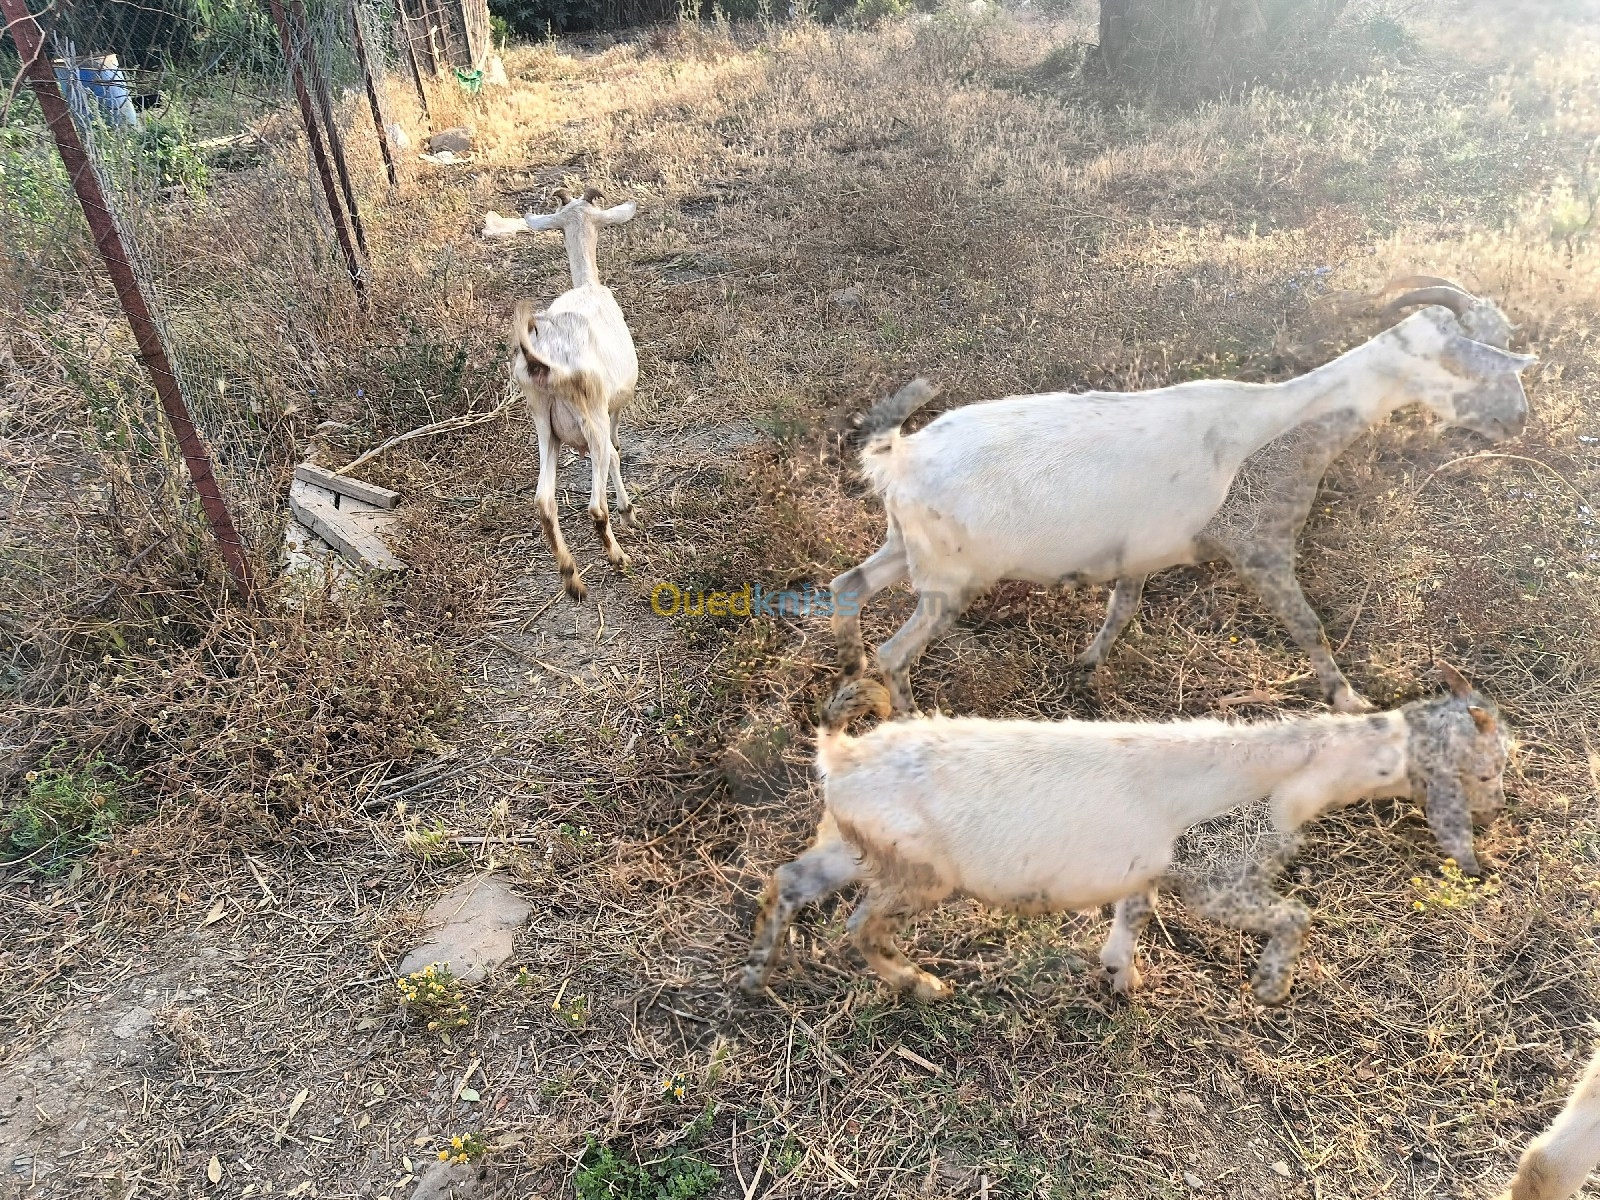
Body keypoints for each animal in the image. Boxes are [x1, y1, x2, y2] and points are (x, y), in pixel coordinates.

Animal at [483, 187, 640, 601]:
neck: (588, 284)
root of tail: (544, 360)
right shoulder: (612, 406)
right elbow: (617, 451)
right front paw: (628, 511)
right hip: (589, 413)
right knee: (596, 501)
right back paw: (617, 556)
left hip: (543, 423)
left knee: (543, 501)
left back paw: (571, 577)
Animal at [742, 668, 1504, 1004]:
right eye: (1487, 766)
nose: (1495, 816)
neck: (1293, 767)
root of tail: (840, 752)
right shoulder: (1217, 879)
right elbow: (1296, 914)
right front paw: (1270, 986)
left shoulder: (1150, 871)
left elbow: (1133, 913)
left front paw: (1119, 974)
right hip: (920, 871)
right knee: (861, 926)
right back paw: (923, 984)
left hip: (854, 843)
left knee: (786, 881)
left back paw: (755, 978)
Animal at [832, 281, 1529, 713]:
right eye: (1469, 362)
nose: (1516, 420)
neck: (1289, 424)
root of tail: (902, 458)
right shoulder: (1261, 545)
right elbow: (1307, 625)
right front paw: (1350, 699)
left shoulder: (1138, 553)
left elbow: (1122, 609)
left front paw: (1086, 669)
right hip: (952, 577)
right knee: (898, 650)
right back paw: (910, 717)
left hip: (904, 544)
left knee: (848, 587)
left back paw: (848, 676)